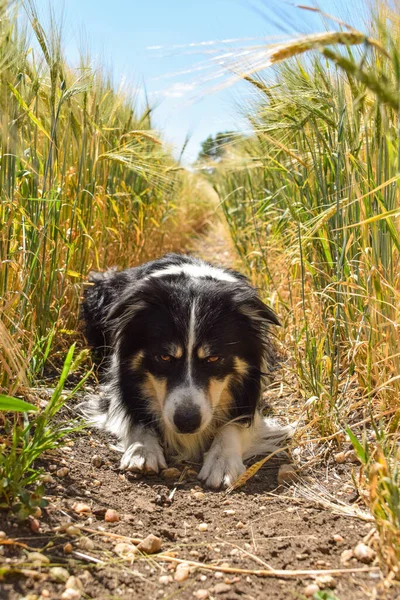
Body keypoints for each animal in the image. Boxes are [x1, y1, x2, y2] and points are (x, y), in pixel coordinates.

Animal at [80, 253, 290, 488]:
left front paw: (223, 461)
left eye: (214, 358)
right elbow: (134, 418)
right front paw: (141, 450)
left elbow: (235, 425)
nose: (187, 422)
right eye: (164, 357)